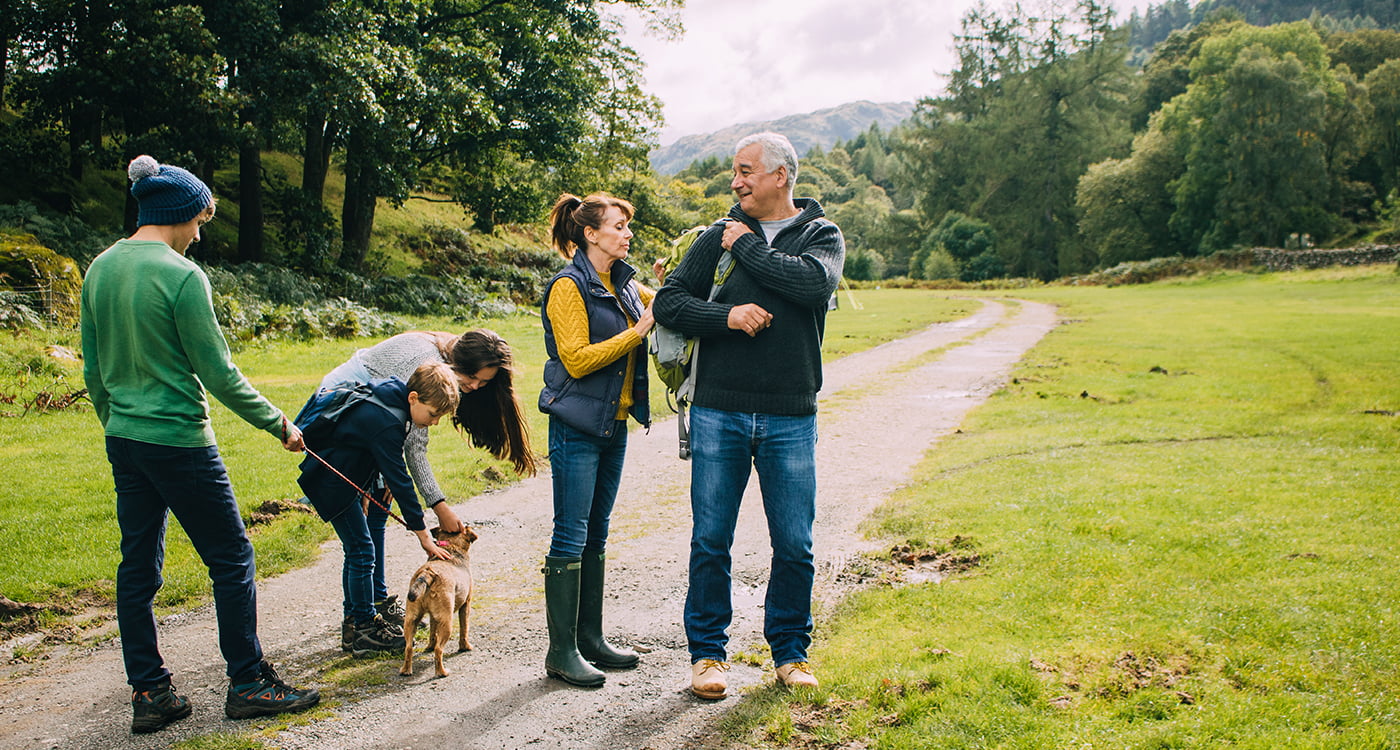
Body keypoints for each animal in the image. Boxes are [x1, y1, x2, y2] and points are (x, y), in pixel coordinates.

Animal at [400, 523, 476, 677]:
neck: (451, 545)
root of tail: (427, 574)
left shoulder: (433, 616)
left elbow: (432, 633)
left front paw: (429, 646)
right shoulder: (466, 604)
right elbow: (464, 629)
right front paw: (465, 647)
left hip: (411, 619)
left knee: (409, 647)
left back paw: (406, 670)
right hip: (446, 622)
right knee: (439, 650)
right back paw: (442, 672)